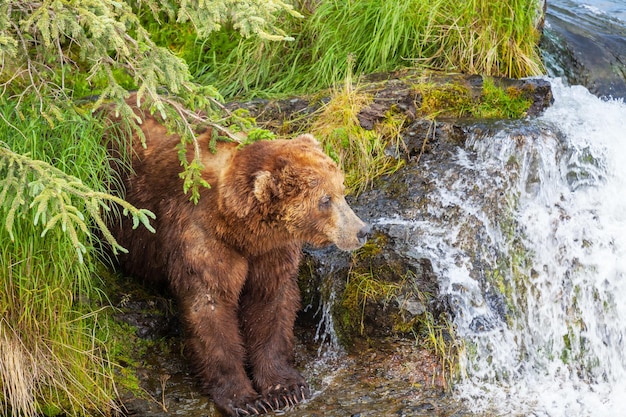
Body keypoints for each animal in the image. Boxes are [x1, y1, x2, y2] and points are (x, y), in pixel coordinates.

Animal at [106, 96, 370, 414]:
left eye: (341, 189)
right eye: (325, 200)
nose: (362, 230)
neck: (239, 227)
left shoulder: (269, 250)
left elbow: (271, 302)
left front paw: (285, 388)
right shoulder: (201, 234)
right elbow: (211, 306)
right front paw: (245, 399)